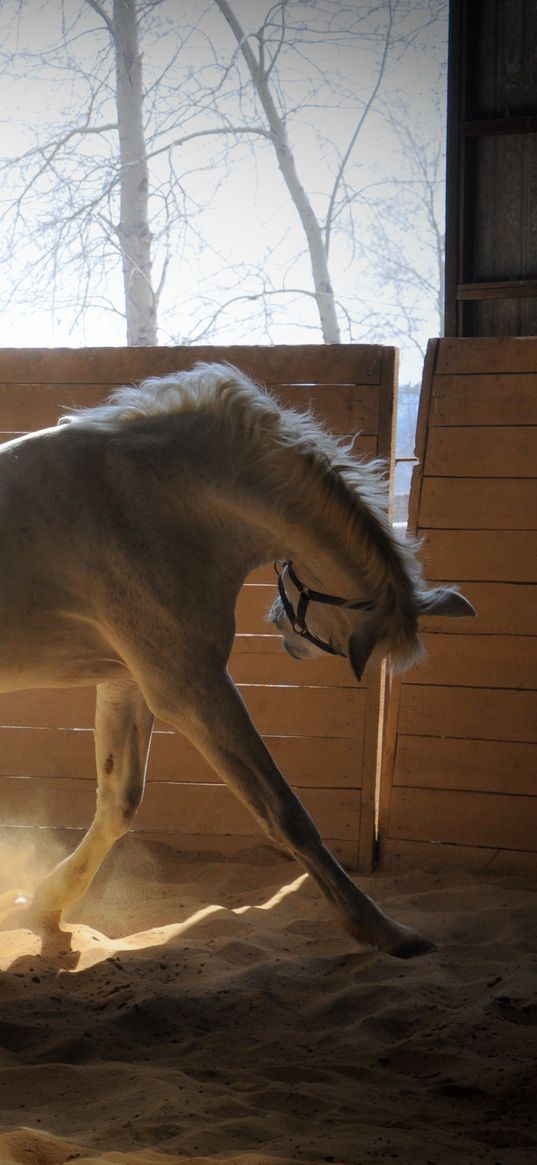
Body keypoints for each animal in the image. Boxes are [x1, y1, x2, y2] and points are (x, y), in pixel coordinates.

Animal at [0, 361, 472, 955]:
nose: (284, 632)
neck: (148, 498)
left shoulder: (130, 683)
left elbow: (118, 804)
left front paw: (46, 903)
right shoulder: (190, 688)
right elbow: (285, 813)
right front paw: (381, 928)